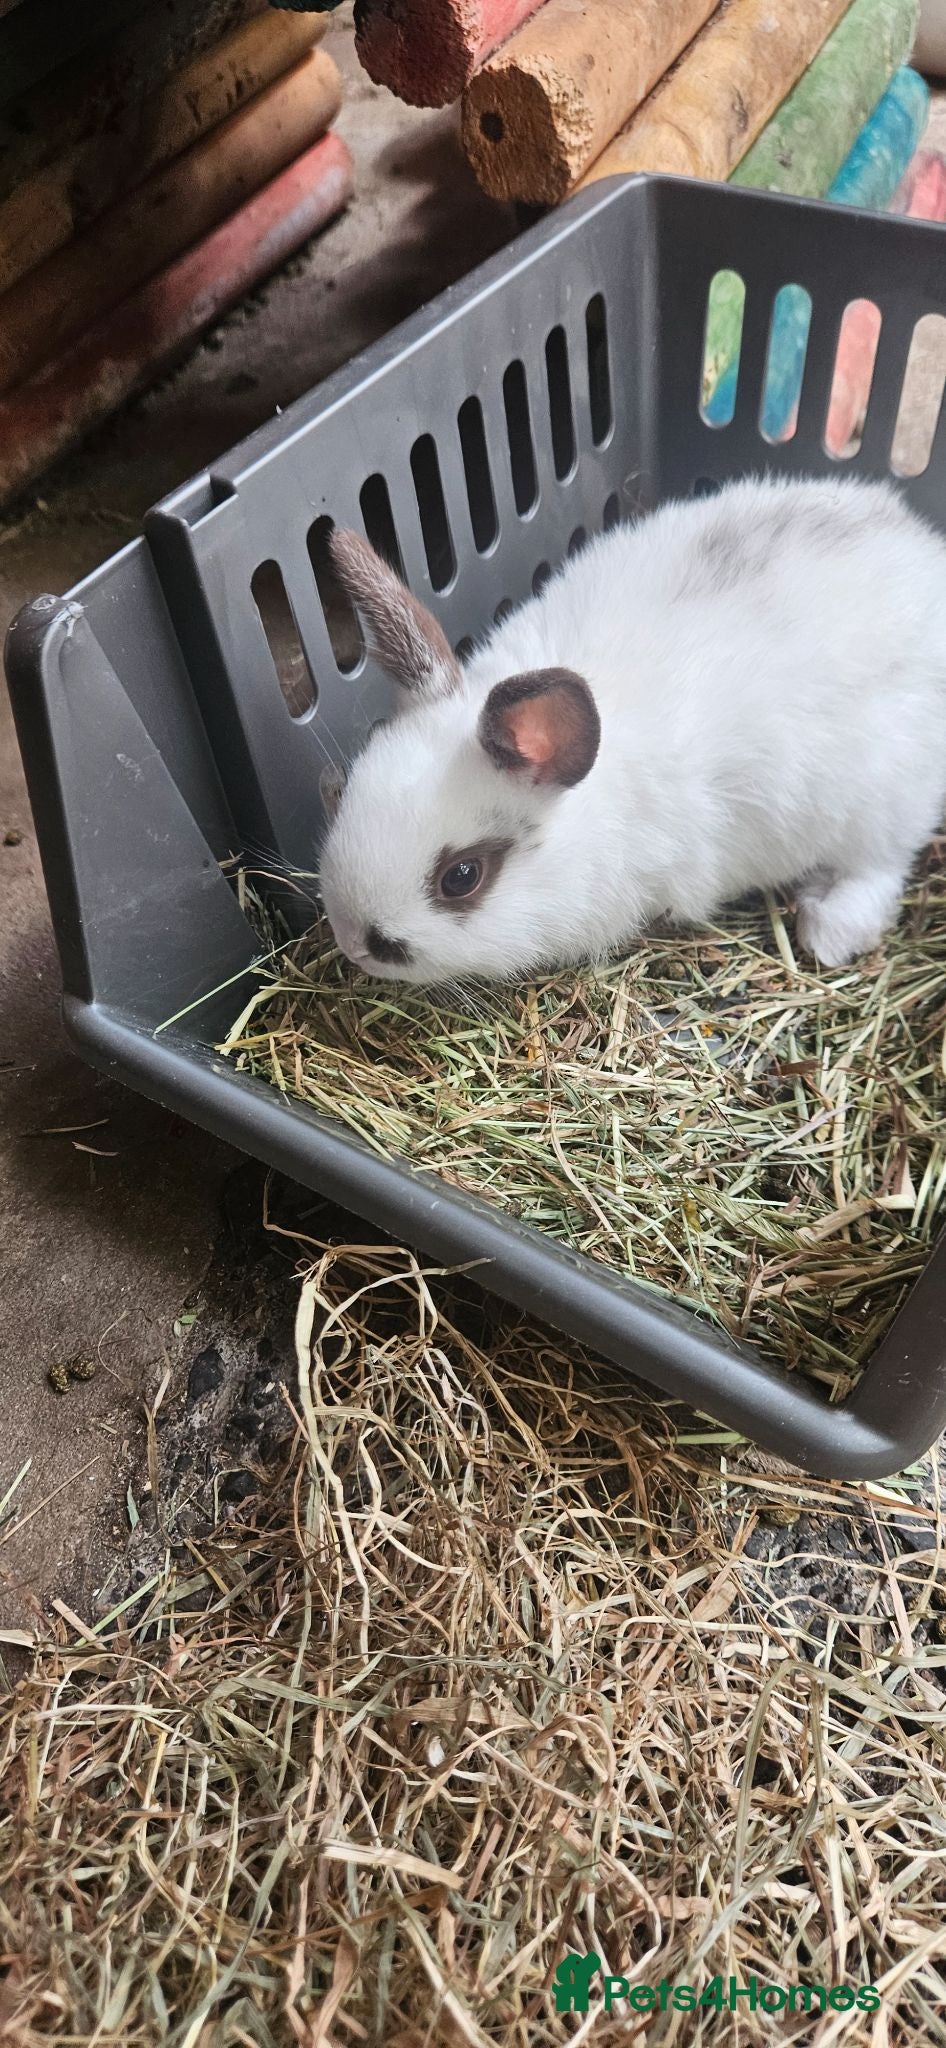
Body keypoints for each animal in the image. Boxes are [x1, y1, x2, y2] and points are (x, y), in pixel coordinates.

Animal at [317, 472, 946, 985]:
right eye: (346, 789)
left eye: (462, 877)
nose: (352, 944)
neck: (592, 809)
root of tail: (925, 552)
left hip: (878, 804)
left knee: (881, 866)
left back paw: (826, 931)